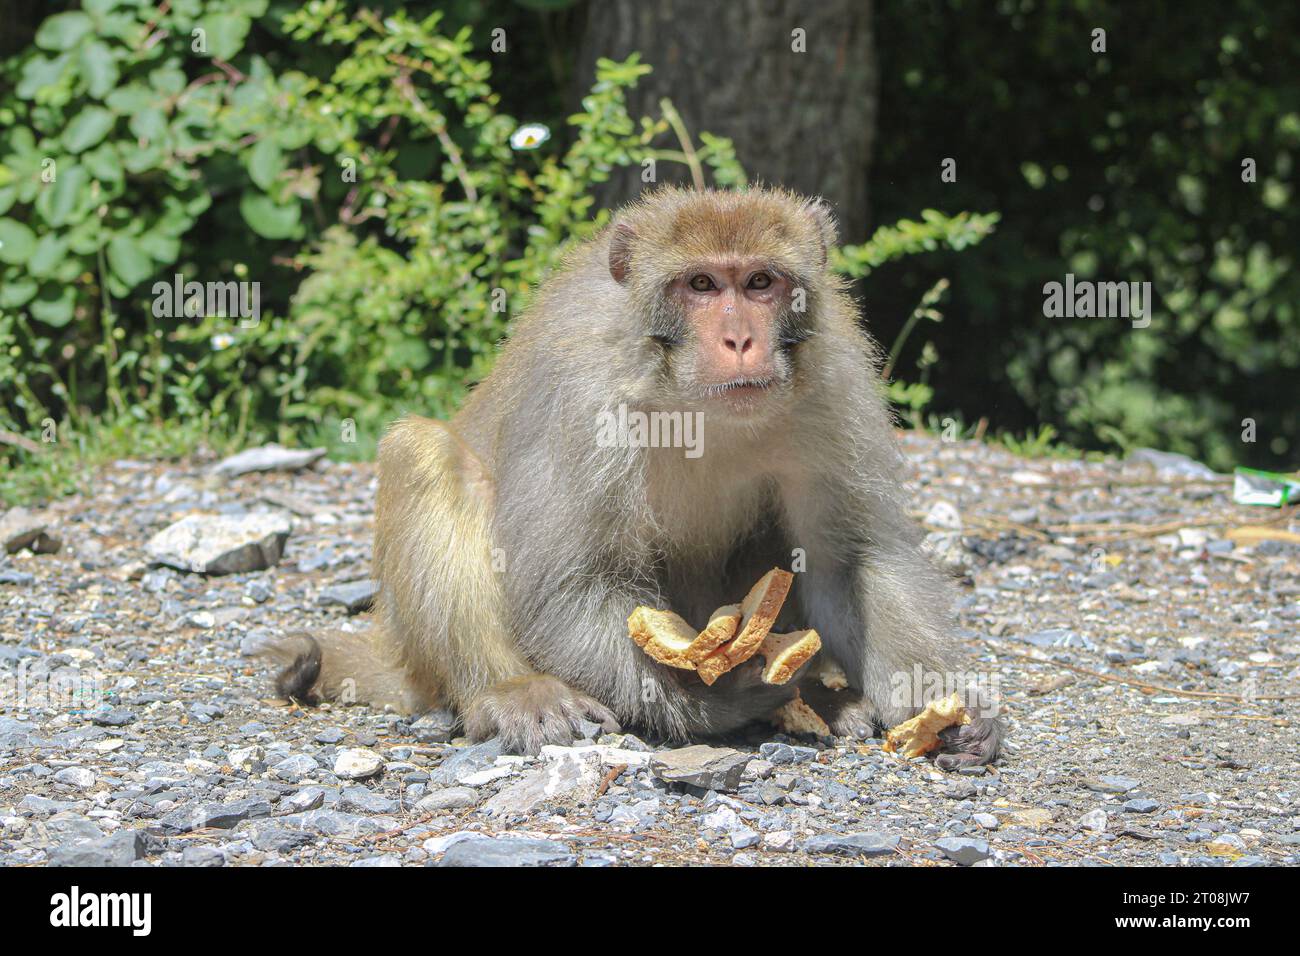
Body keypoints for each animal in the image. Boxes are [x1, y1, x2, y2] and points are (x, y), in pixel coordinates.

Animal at [266, 184, 1003, 770]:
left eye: (759, 283)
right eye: (701, 285)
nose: (740, 340)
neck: (687, 397)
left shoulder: (832, 384)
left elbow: (848, 558)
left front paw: (942, 705)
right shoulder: (581, 395)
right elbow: (569, 583)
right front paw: (712, 701)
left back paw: (825, 697)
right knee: (424, 453)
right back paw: (510, 692)